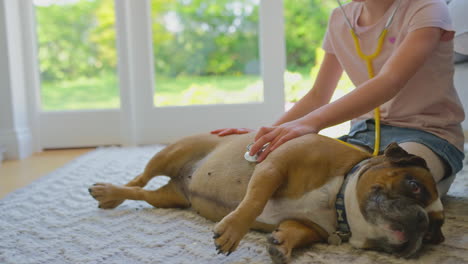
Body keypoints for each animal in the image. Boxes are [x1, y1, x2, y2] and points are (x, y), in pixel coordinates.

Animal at [88, 133, 446, 262]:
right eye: (415, 185)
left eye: (432, 232)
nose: (421, 221)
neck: (339, 198)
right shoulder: (274, 166)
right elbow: (254, 201)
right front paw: (232, 232)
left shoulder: (308, 225)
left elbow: (294, 230)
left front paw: (281, 244)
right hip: (170, 154)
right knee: (139, 178)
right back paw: (108, 192)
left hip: (170, 199)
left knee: (143, 192)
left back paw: (112, 196)